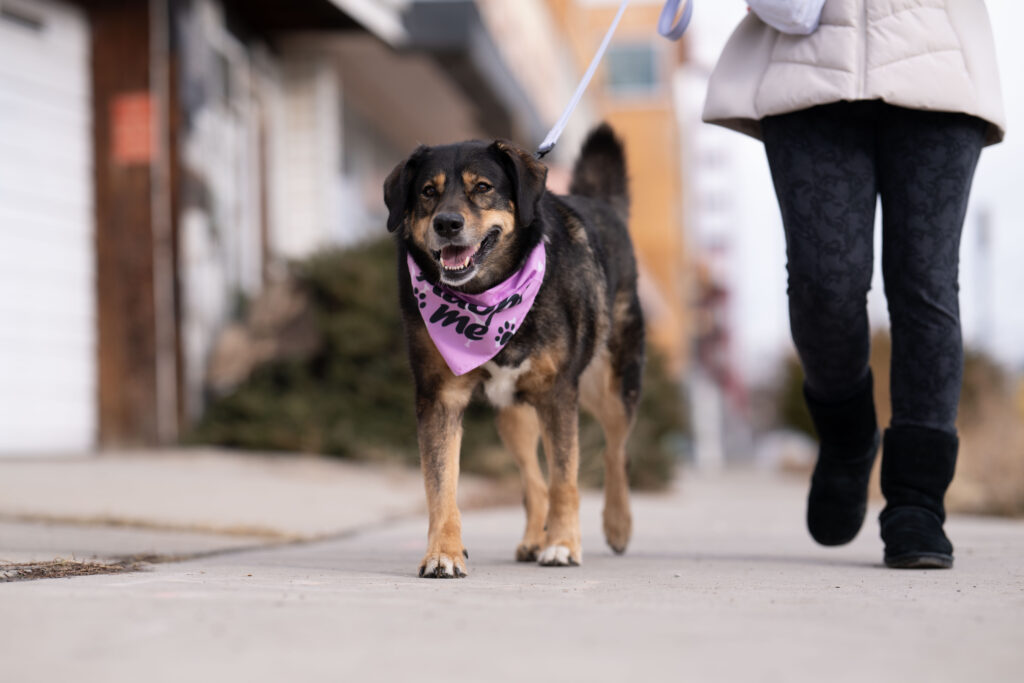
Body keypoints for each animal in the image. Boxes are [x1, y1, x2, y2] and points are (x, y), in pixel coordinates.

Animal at [380, 122, 643, 577]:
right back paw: (534, 538)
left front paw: (563, 545)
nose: (447, 224)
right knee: (533, 479)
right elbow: (441, 486)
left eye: (483, 187)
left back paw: (617, 524)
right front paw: (443, 552)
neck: (485, 298)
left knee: (615, 450)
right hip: (514, 415)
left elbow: (565, 479)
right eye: (428, 192)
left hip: (610, 385)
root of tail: (601, 204)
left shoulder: (559, 394)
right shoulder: (439, 398)